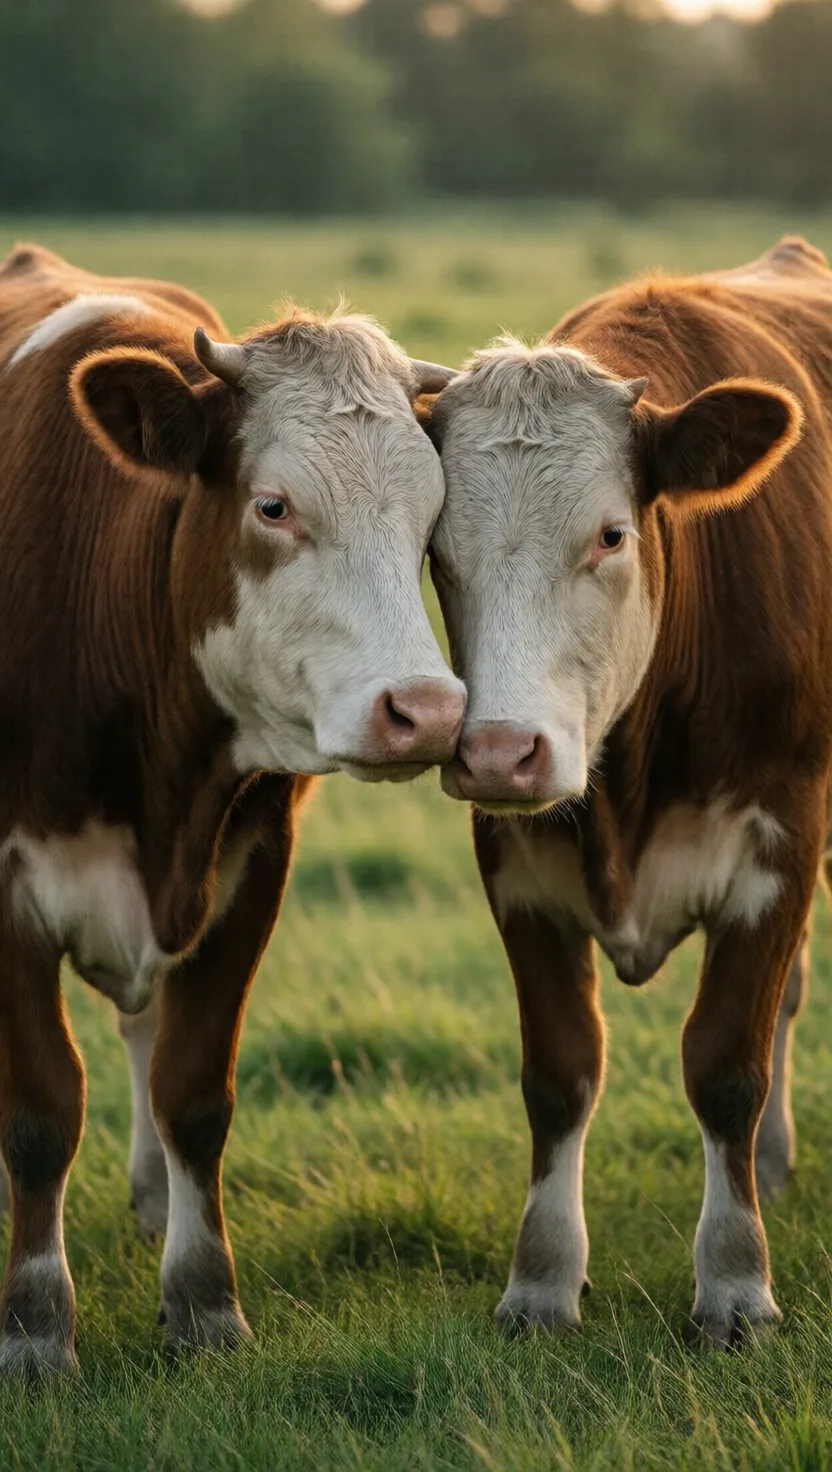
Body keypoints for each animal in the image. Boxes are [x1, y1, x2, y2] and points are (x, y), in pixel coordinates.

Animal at [0, 243, 465, 1378]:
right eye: (273, 506)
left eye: (432, 519)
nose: (425, 712)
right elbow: (39, 1107)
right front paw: (33, 1325)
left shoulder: (250, 866)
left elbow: (193, 1091)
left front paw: (204, 1301)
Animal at [421, 236, 832, 1349]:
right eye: (435, 550)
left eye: (610, 535)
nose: (501, 751)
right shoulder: (517, 867)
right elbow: (560, 1072)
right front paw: (540, 1279)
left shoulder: (781, 846)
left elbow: (727, 1062)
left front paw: (735, 1283)